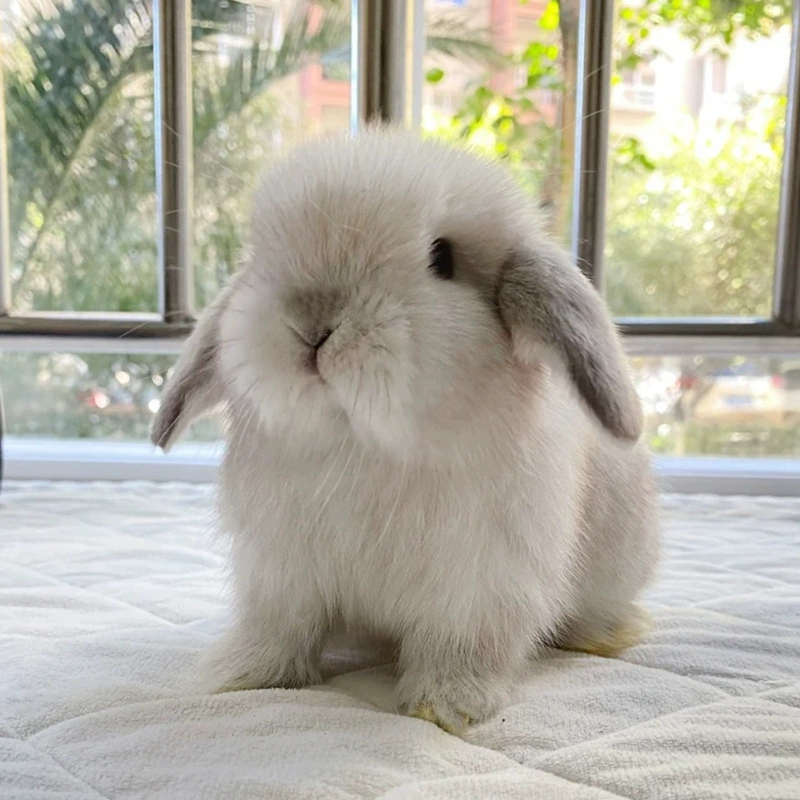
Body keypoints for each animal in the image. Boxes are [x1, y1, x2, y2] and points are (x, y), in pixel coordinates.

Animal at [152, 126, 660, 735]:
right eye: (258, 260)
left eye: (442, 258)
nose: (313, 325)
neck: (362, 445)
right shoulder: (281, 576)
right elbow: (278, 633)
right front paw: (238, 677)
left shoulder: (481, 588)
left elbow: (459, 649)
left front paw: (443, 707)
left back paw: (609, 635)